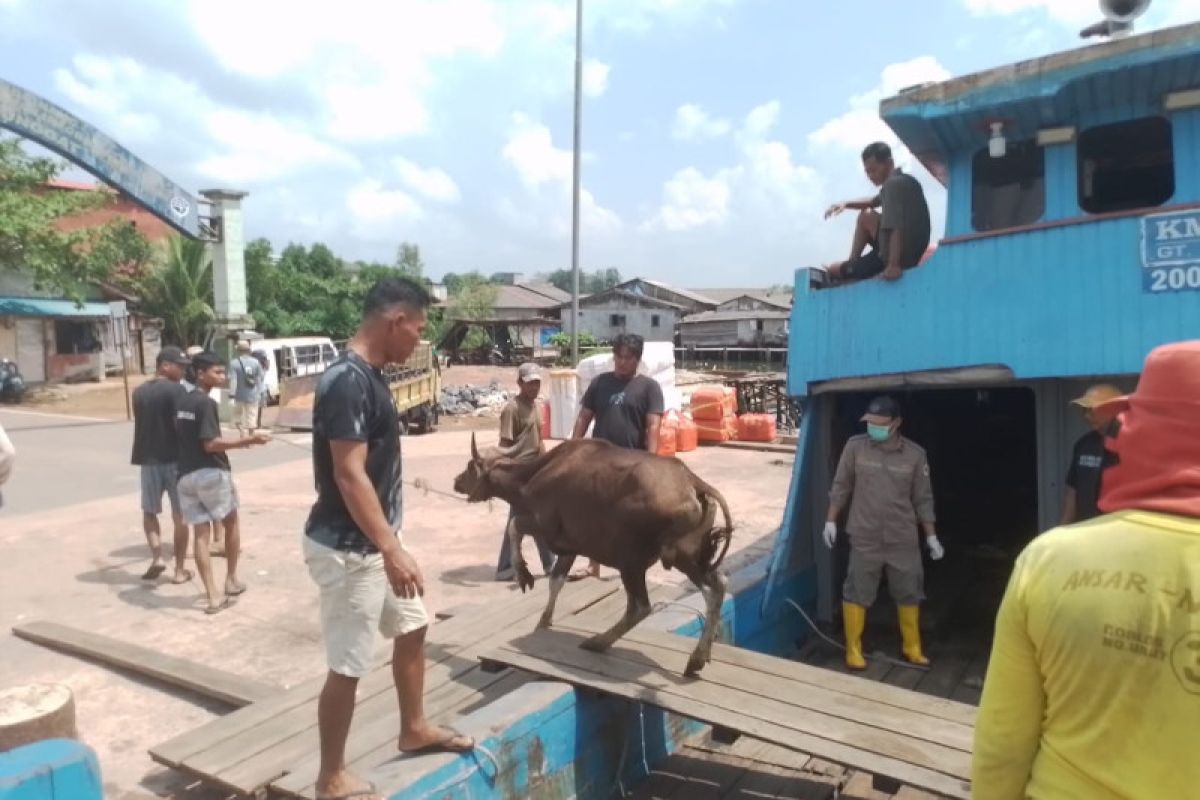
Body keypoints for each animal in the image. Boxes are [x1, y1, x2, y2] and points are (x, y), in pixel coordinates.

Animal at [453, 438, 729, 676]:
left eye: (469, 466)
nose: (456, 481)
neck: (533, 475)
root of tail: (692, 482)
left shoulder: (544, 527)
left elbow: (514, 528)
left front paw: (522, 573)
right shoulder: (570, 547)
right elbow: (556, 582)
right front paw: (543, 622)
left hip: (638, 562)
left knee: (642, 606)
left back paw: (598, 642)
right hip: (692, 559)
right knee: (718, 586)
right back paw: (698, 658)